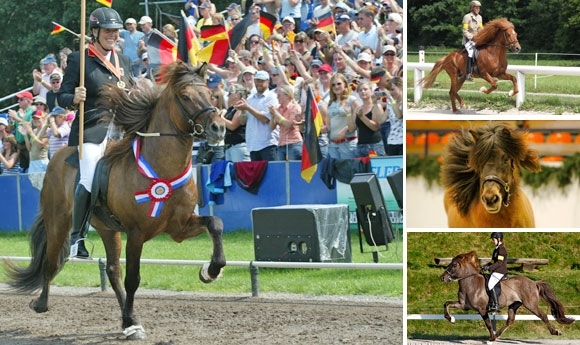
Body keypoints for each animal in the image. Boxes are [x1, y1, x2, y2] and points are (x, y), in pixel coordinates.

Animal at [3, 60, 227, 338]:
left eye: (210, 94)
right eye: (185, 96)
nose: (218, 128)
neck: (162, 167)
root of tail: (57, 156)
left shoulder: (179, 227)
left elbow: (215, 224)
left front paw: (210, 271)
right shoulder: (136, 233)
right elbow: (133, 279)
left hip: (108, 229)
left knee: (112, 270)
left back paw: (128, 321)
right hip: (59, 222)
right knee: (53, 260)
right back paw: (41, 303)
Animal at [442, 250, 572, 344]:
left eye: (454, 265)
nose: (442, 277)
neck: (470, 282)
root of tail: (534, 282)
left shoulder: (482, 309)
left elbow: (488, 323)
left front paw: (491, 338)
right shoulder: (464, 305)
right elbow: (446, 304)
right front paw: (451, 319)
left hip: (531, 305)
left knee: (543, 316)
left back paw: (555, 332)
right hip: (514, 305)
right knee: (510, 320)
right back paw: (497, 335)